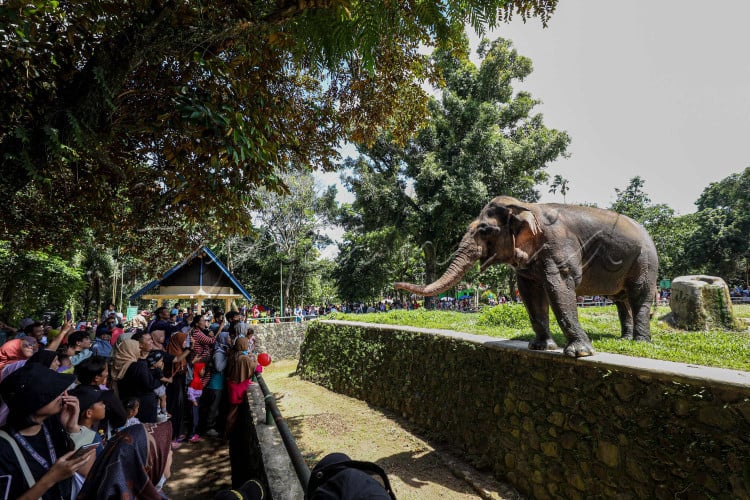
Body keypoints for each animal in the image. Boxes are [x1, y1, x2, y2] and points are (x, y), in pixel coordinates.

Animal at [396, 194, 660, 356]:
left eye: (484, 230)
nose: (397, 284)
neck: (526, 206)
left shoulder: (558, 245)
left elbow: (560, 286)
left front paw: (580, 352)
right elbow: (530, 291)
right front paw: (541, 347)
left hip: (645, 260)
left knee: (639, 294)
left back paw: (640, 342)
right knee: (621, 299)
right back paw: (625, 339)